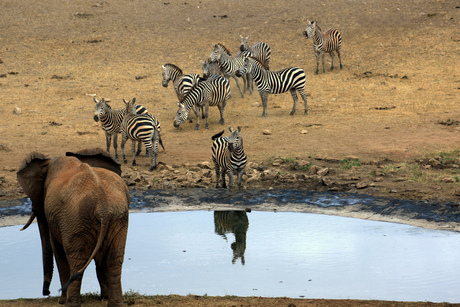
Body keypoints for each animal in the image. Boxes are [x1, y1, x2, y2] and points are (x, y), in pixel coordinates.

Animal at [16, 148, 129, 306]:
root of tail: (103, 207)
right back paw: (116, 304)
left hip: (75, 219)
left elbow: (57, 250)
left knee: (76, 260)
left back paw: (71, 303)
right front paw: (104, 297)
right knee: (114, 259)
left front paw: (61, 301)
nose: (46, 293)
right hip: (118, 217)